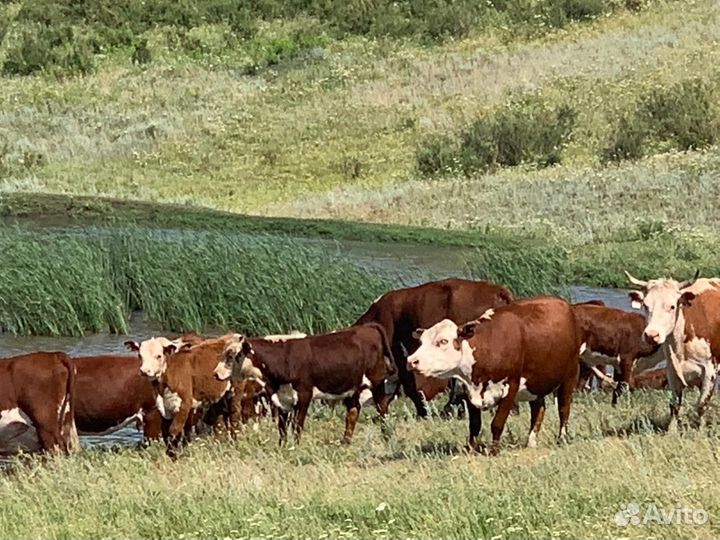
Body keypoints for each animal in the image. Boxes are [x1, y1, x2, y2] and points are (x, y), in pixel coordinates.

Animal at [215, 322, 394, 446]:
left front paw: (295, 446)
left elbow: (297, 426)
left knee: (383, 408)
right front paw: (283, 447)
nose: (215, 373)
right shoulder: (281, 399)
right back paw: (345, 442)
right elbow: (282, 428)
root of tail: (366, 327)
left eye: (231, 355)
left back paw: (387, 437)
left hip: (377, 382)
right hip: (353, 388)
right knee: (353, 412)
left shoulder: (304, 395)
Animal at [408, 298, 584, 454]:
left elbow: (497, 423)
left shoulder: (511, 386)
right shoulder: (469, 390)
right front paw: (470, 450)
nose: (411, 361)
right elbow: (475, 425)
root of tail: (563, 304)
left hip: (570, 376)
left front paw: (494, 451)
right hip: (536, 383)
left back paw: (562, 439)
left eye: (443, 341)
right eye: (421, 342)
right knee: (538, 409)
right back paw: (531, 442)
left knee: (563, 409)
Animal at [624, 272, 720, 424]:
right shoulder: (671, 368)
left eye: (672, 306)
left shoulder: (710, 370)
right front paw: (672, 429)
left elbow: (701, 405)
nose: (651, 335)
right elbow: (674, 405)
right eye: (646, 305)